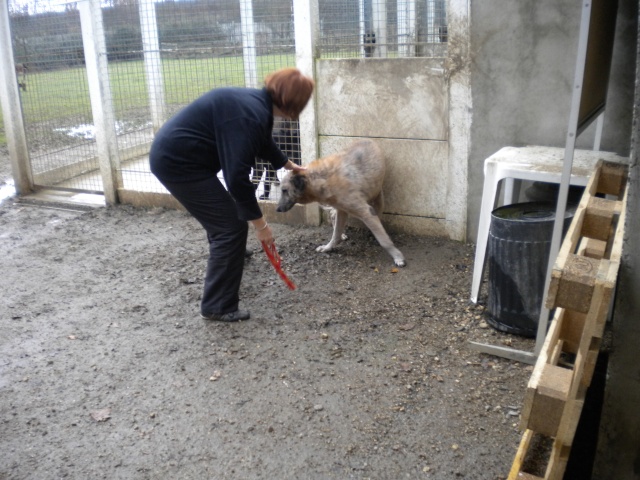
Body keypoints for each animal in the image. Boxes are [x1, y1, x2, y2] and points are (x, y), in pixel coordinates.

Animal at [276, 139, 404, 268]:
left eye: (284, 190)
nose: (277, 209)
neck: (321, 179)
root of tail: (368, 140)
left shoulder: (365, 211)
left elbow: (384, 241)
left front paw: (397, 256)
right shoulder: (342, 210)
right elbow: (336, 235)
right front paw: (328, 247)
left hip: (378, 198)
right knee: (333, 216)